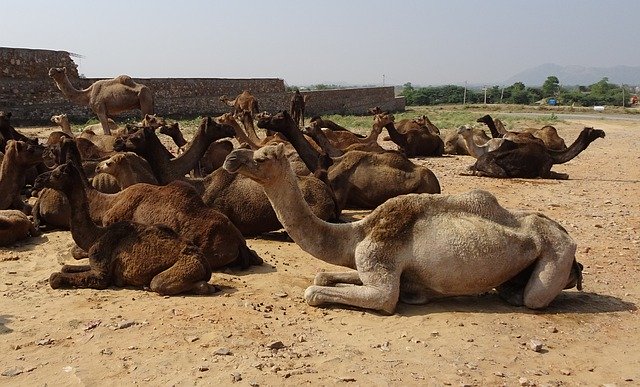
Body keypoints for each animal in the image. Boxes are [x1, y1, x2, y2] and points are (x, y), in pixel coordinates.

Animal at [34, 162, 212, 296]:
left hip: (186, 266)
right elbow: (65, 267)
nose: (37, 180)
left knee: (160, 282)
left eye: (57, 174)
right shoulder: (96, 264)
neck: (95, 236)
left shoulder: (101, 274)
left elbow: (55, 277)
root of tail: (204, 262)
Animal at [222, 144, 584, 314]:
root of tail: (567, 237)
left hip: (557, 253)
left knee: (535, 297)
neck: (357, 233)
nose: (230, 159)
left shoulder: (379, 265)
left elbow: (321, 292)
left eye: (263, 157)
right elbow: (323, 275)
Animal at [470, 129, 604, 180]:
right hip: (491, 165)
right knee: (501, 173)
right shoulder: (545, 167)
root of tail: (477, 162)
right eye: (593, 131)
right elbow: (562, 175)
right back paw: (479, 172)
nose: (602, 132)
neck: (552, 155)